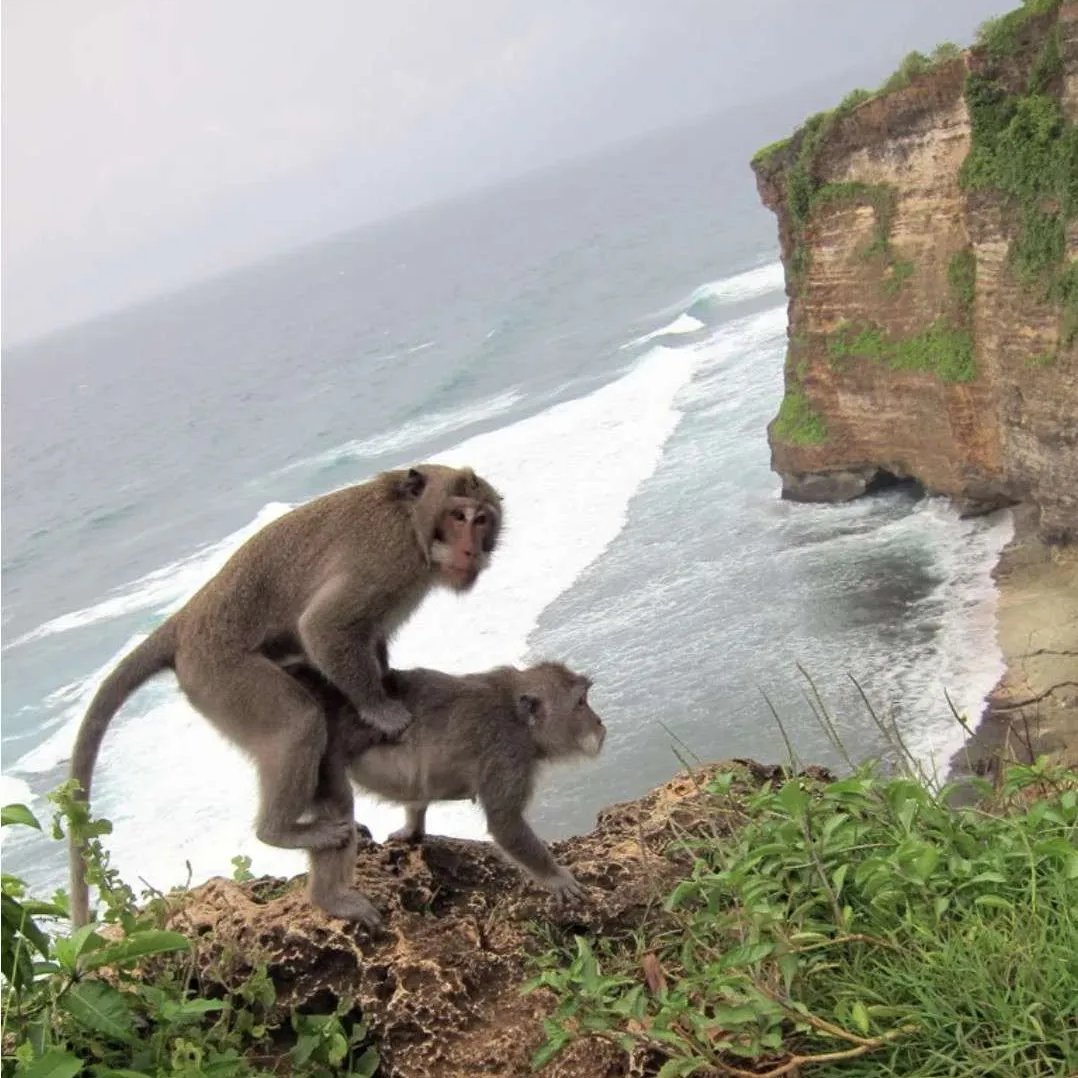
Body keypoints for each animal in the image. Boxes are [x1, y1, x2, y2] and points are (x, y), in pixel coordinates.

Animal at [67, 463, 502, 927]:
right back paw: (278, 831)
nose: (472, 551)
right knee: (298, 723)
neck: (409, 518)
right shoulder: (388, 560)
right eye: (458, 516)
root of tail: (183, 623)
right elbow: (324, 629)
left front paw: (387, 687)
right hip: (221, 675)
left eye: (482, 519)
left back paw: (331, 896)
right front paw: (382, 710)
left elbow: (371, 640)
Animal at [282, 657, 605, 928]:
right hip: (321, 758)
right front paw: (556, 877)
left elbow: (418, 791)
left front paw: (412, 829)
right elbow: (505, 823)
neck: (517, 718)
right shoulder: (507, 753)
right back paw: (329, 898)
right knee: (338, 808)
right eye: (580, 703)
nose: (600, 722)